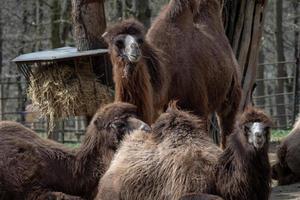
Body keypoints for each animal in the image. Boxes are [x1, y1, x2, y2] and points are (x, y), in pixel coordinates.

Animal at [103, 0, 241, 148]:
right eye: (118, 43)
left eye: (140, 41)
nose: (134, 50)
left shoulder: (196, 109)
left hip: (231, 94)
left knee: (227, 125)